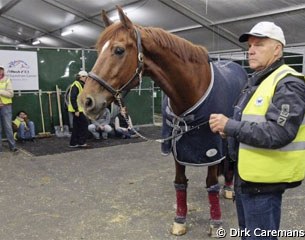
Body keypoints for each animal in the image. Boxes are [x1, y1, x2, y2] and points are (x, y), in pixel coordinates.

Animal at [78, 6, 245, 238]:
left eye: (118, 50)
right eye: (97, 49)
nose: (86, 101)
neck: (190, 91)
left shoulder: (211, 149)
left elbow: (211, 184)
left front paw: (215, 223)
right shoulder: (176, 146)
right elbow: (180, 184)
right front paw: (180, 221)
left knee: (231, 161)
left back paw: (229, 188)